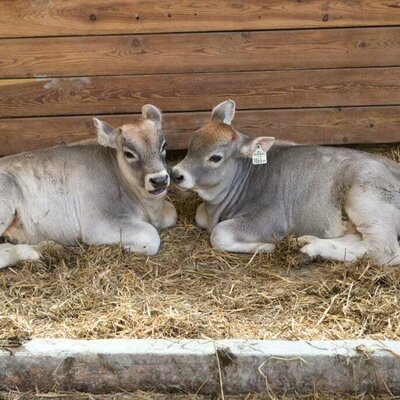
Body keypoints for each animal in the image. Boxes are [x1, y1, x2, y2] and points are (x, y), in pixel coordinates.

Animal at [0, 105, 177, 268]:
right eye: (129, 153)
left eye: (163, 145)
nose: (159, 180)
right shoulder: (98, 222)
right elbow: (151, 236)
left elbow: (173, 213)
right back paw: (34, 253)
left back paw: (51, 249)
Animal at [171, 100, 400, 266]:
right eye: (191, 143)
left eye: (215, 157)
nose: (175, 174)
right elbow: (200, 217)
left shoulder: (271, 219)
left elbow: (219, 234)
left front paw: (266, 247)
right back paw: (309, 242)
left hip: (367, 199)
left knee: (383, 249)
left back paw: (312, 249)